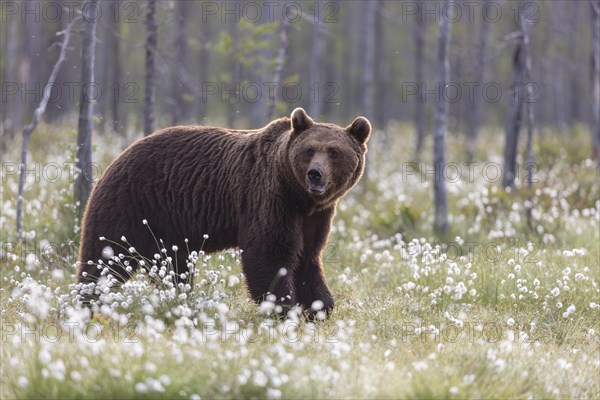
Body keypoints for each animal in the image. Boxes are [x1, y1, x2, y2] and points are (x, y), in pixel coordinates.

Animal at [77, 108, 370, 318]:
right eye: (309, 150)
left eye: (333, 151)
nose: (315, 174)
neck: (300, 197)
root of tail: (117, 158)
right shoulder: (268, 198)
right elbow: (270, 252)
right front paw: (284, 307)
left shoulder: (316, 216)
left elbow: (307, 256)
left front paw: (320, 306)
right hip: (128, 205)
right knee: (104, 257)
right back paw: (88, 303)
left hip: (164, 229)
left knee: (171, 267)